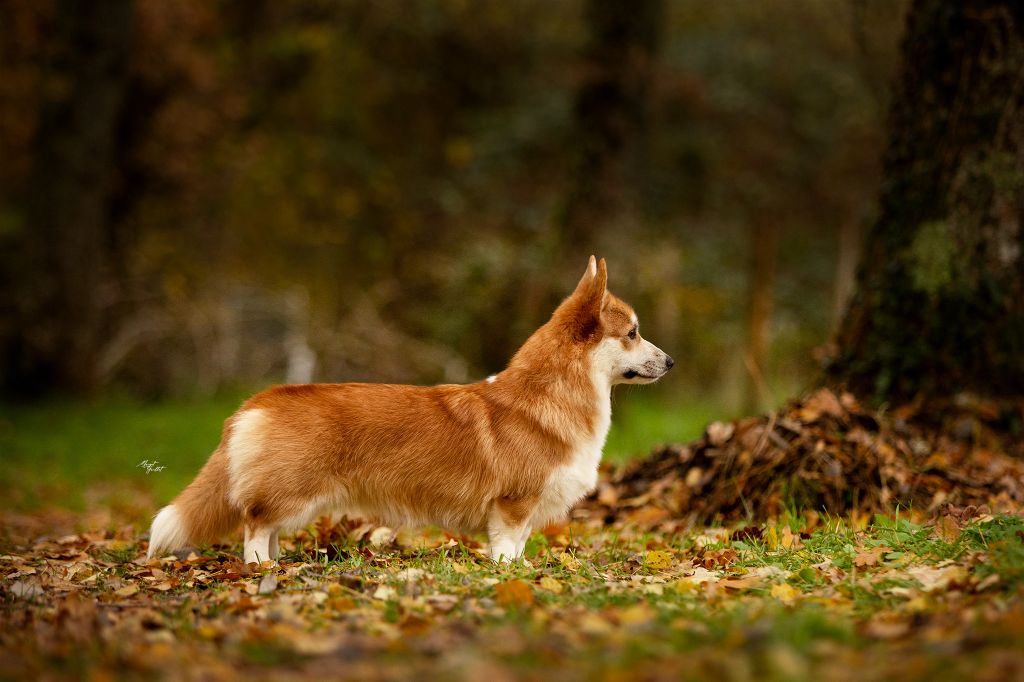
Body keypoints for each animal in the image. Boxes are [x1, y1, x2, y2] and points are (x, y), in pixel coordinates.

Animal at [146, 258, 671, 561]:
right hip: (294, 493)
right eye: (632, 333)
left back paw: (273, 564)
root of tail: (258, 401)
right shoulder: (513, 504)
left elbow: (520, 546)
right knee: (255, 526)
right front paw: (507, 575)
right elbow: (507, 546)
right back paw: (261, 569)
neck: (550, 394)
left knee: (266, 527)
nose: (671, 362)